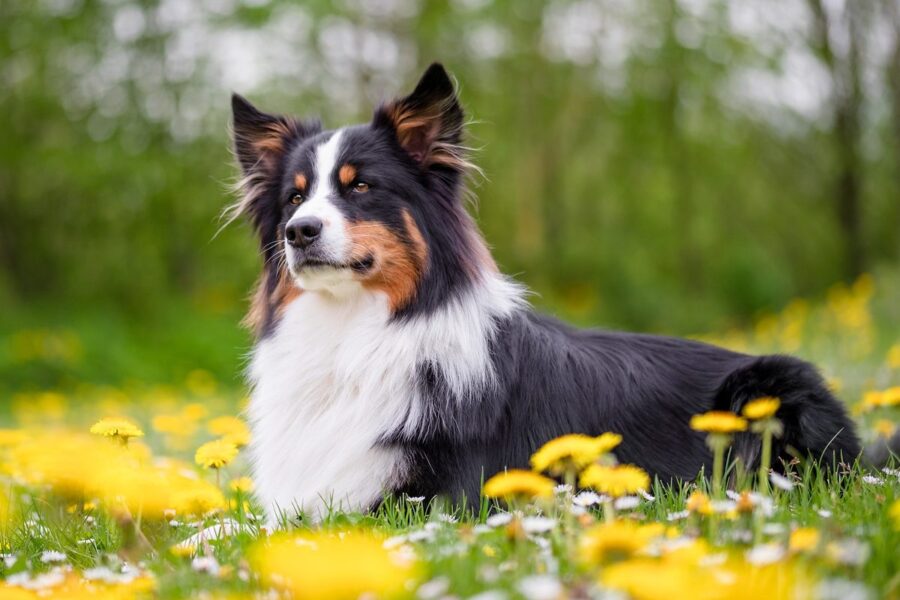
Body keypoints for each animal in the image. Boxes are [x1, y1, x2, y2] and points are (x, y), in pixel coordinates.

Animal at [229, 62, 860, 520]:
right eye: (294, 197)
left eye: (360, 186)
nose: (299, 232)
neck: (355, 331)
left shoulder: (431, 501)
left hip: (768, 388)